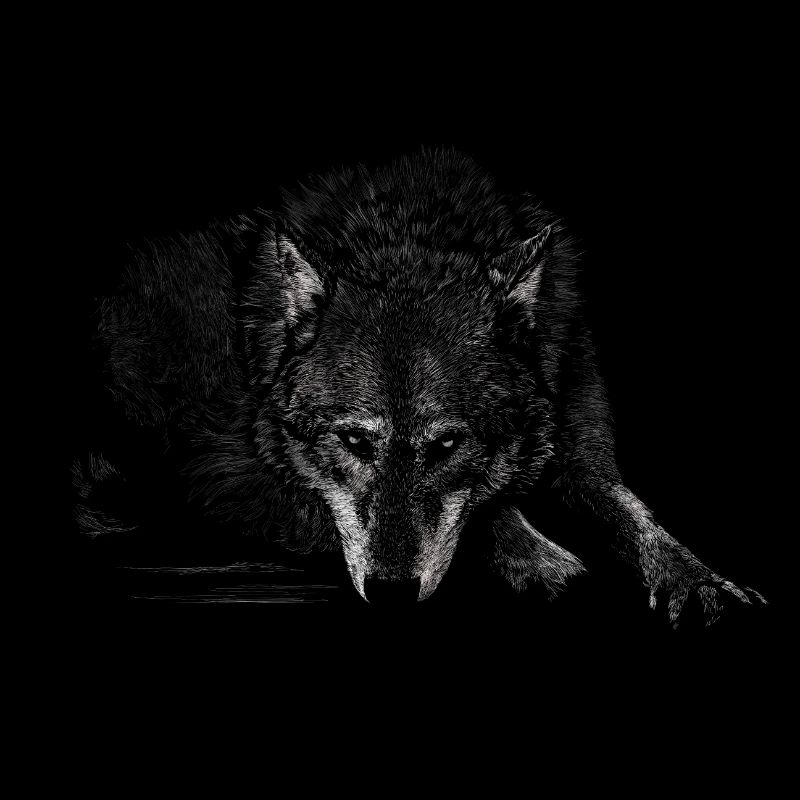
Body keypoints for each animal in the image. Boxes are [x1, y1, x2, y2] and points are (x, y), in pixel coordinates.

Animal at [73, 148, 765, 623]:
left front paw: (699, 579)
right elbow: (492, 511)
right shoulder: (225, 473)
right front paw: (544, 561)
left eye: (447, 446)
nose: (390, 593)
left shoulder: (584, 460)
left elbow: (636, 516)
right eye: (354, 442)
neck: (409, 236)